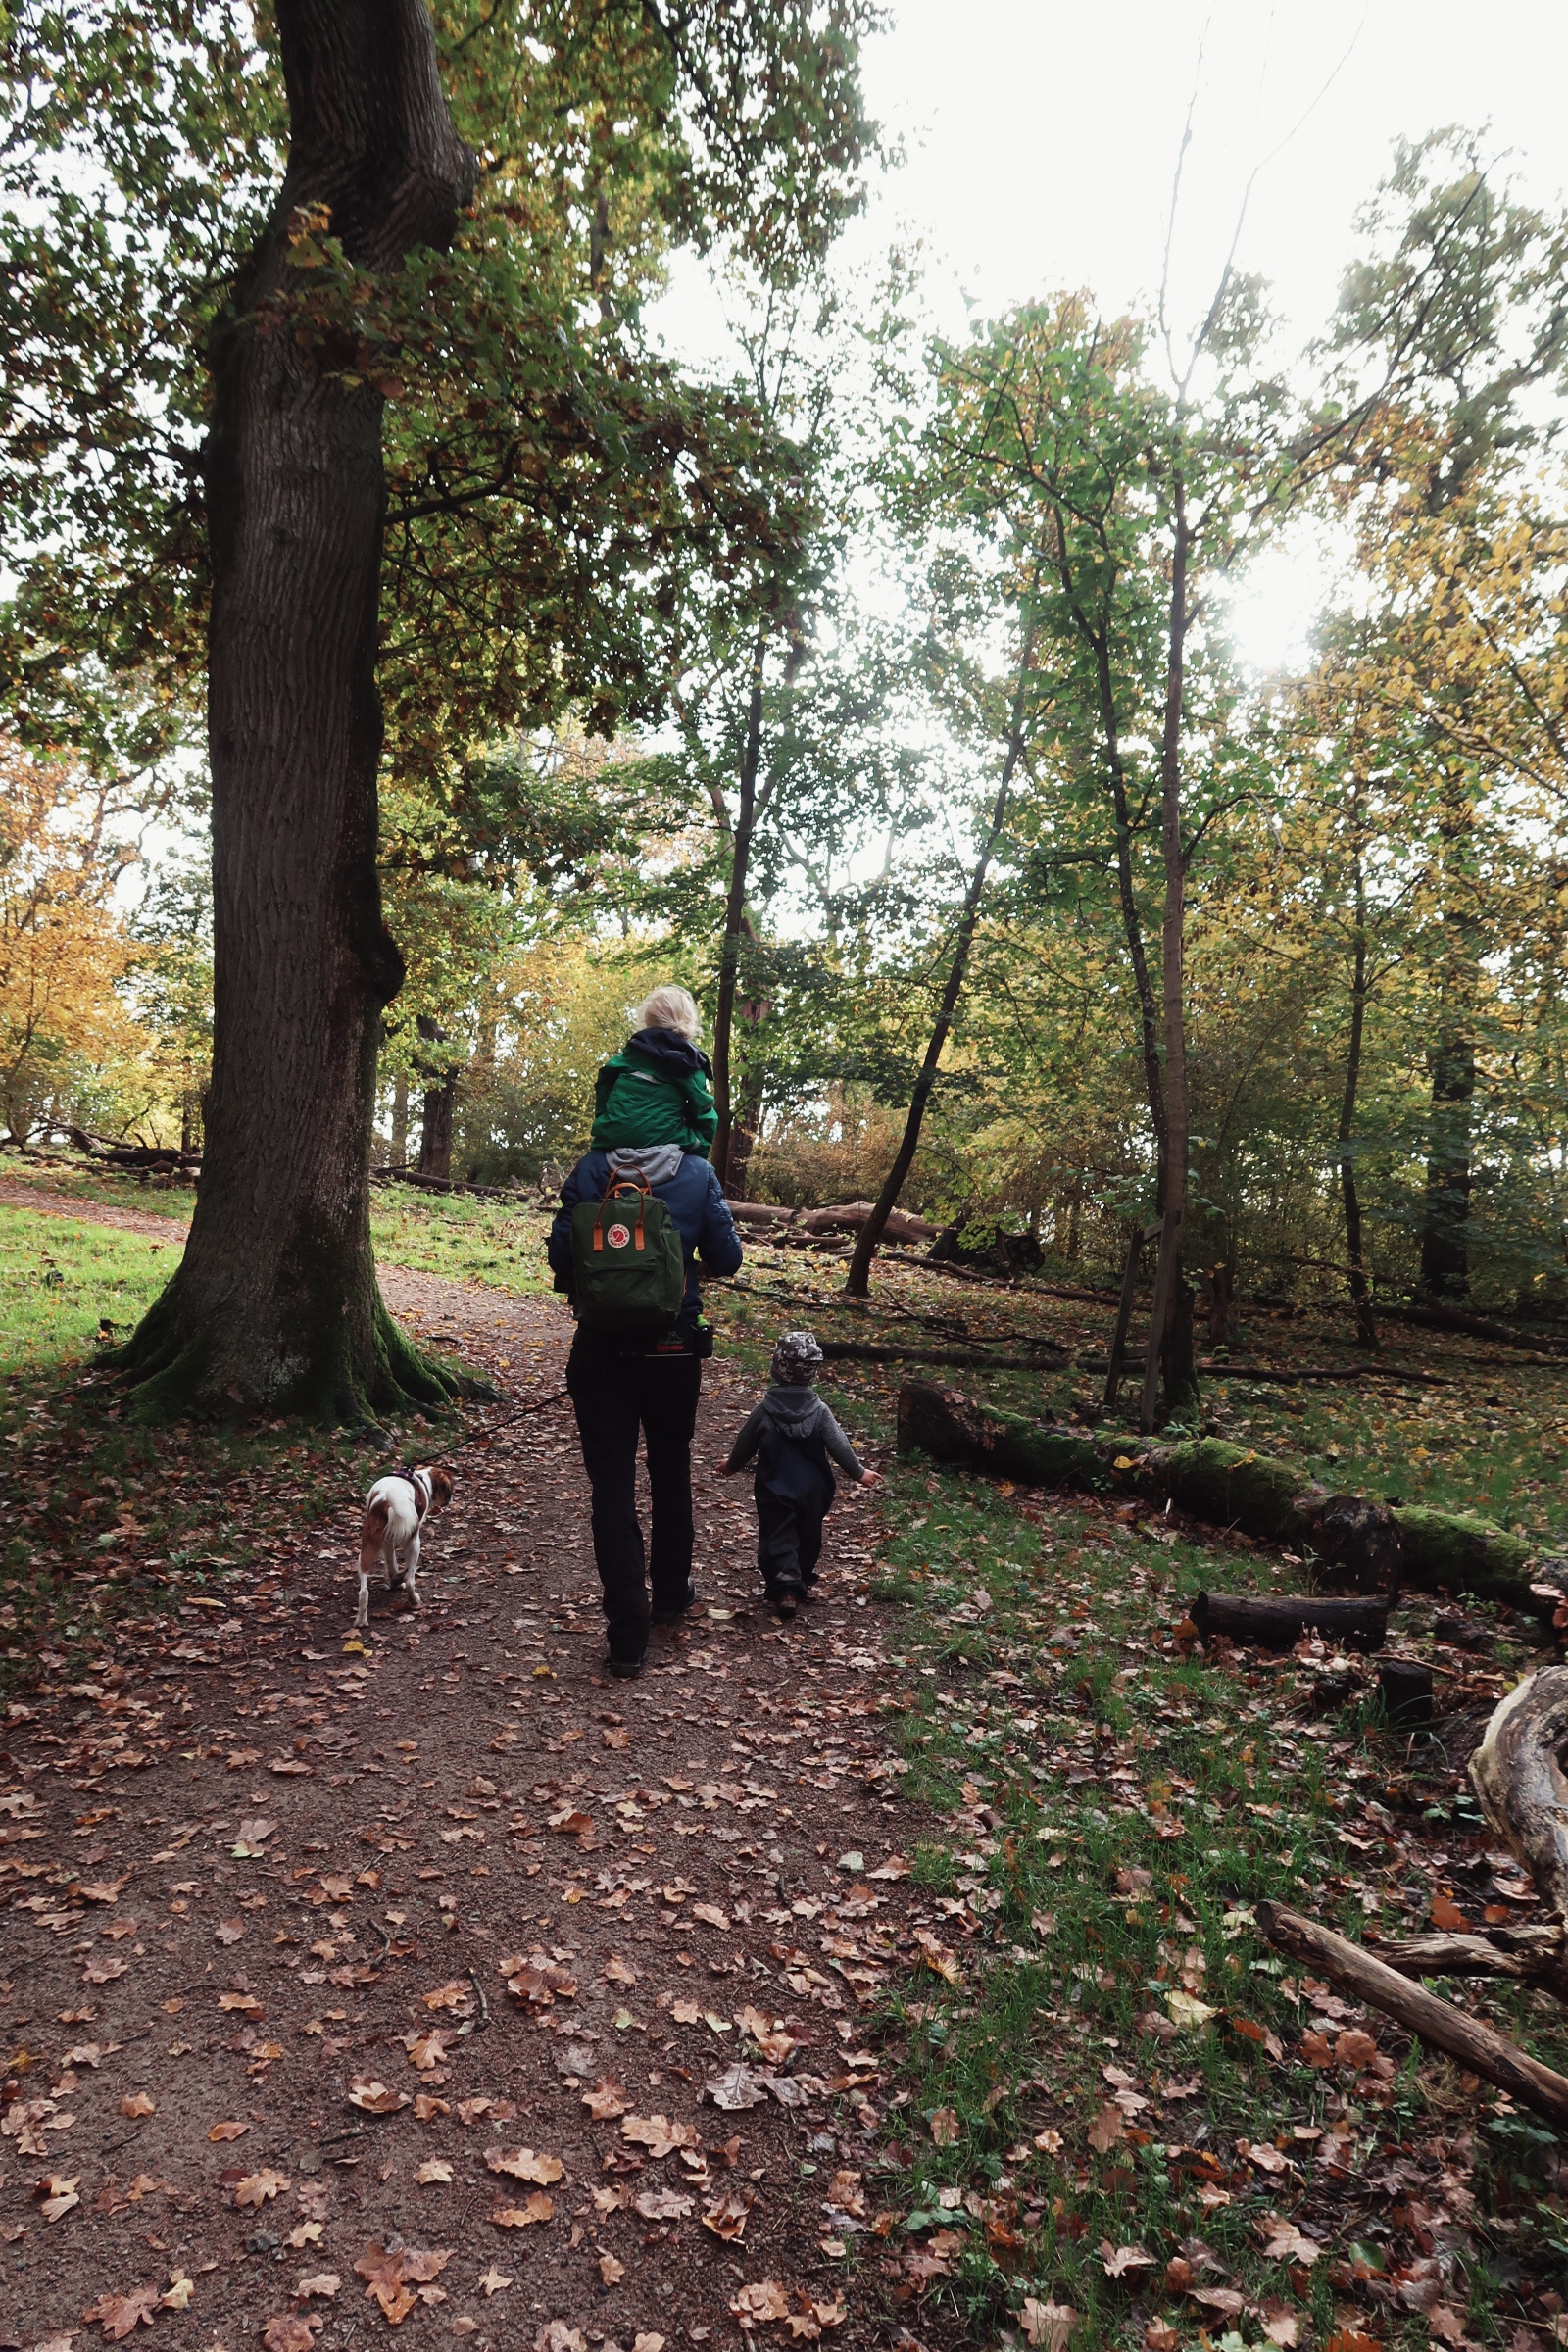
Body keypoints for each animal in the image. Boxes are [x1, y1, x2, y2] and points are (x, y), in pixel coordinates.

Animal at [357, 1458, 453, 1627]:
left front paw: (394, 1581)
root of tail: (385, 1504)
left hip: (366, 1549)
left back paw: (361, 1620)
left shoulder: (387, 1543)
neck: (422, 1479)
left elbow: (391, 1565)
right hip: (414, 1544)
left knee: (363, 1591)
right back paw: (414, 1600)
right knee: (410, 1580)